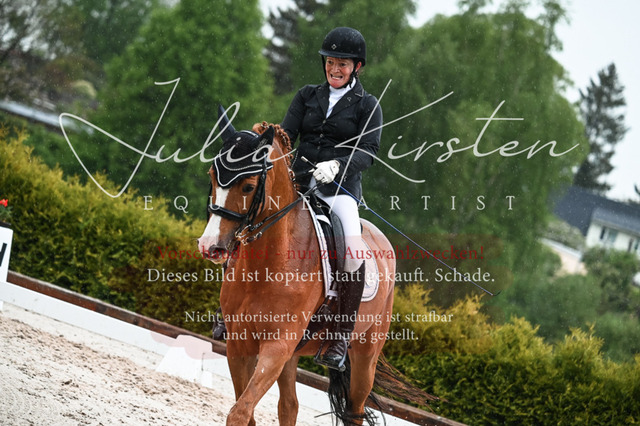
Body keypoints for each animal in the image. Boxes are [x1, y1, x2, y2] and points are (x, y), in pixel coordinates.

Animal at [197, 110, 398, 426]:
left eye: (248, 186)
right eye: (213, 177)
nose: (210, 246)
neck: (267, 266)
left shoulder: (277, 347)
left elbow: (240, 412)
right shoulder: (240, 345)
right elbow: (245, 411)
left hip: (365, 356)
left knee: (354, 412)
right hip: (294, 354)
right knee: (289, 405)